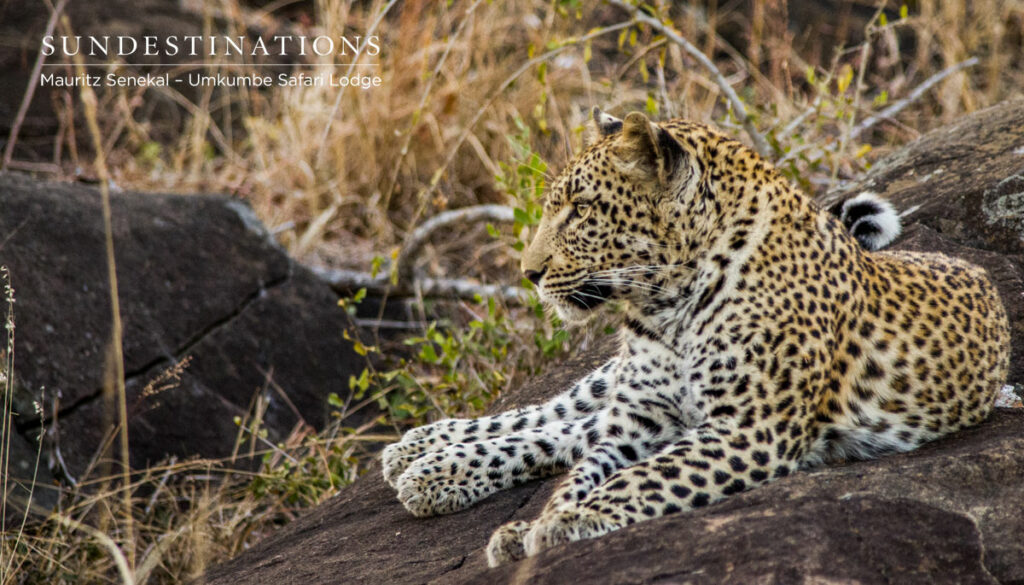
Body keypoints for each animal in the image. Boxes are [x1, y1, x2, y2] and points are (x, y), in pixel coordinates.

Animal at [380, 107, 1011, 568]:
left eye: (580, 210)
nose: (528, 274)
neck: (667, 305)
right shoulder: (637, 422)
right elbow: (582, 475)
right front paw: (542, 521)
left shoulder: (746, 429)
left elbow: (640, 478)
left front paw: (558, 524)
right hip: (613, 386)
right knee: (554, 414)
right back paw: (422, 453)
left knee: (565, 431)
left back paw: (428, 470)